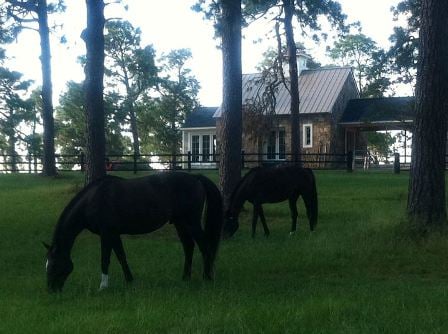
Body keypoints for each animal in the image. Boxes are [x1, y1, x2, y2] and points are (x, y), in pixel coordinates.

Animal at [43, 172, 222, 292]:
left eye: (53, 265)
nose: (51, 290)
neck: (93, 199)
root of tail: (196, 177)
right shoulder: (114, 234)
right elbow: (121, 257)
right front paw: (129, 281)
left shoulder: (106, 234)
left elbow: (105, 259)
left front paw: (103, 287)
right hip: (180, 223)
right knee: (188, 246)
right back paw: (185, 278)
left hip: (192, 222)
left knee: (204, 247)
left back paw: (207, 278)